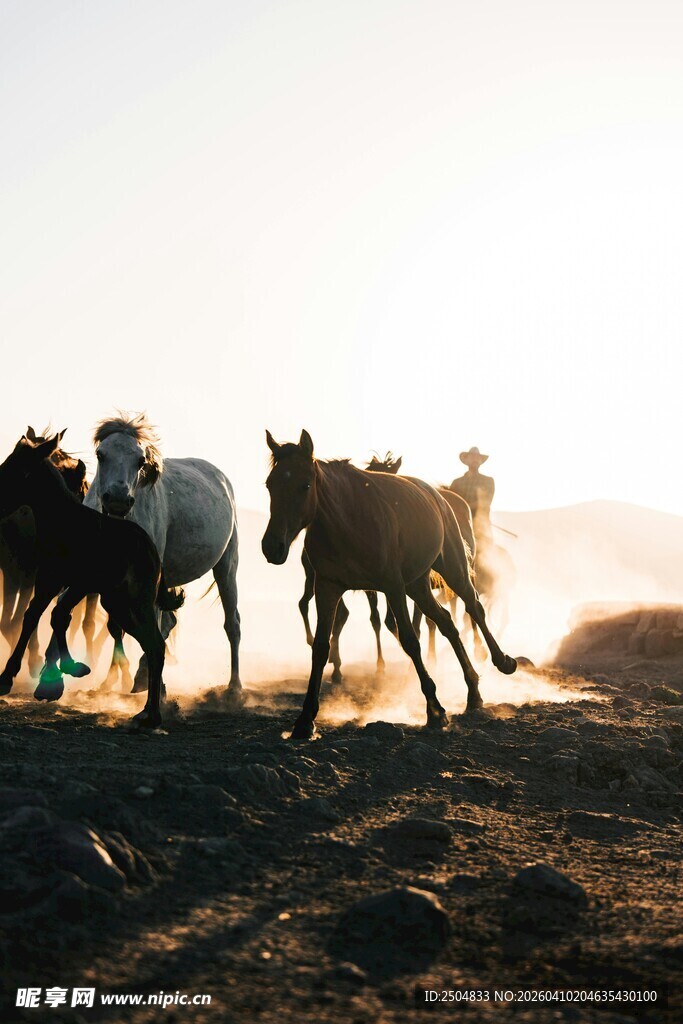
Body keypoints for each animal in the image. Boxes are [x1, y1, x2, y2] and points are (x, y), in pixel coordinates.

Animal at [0, 431, 184, 727]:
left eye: (18, 470)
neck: (65, 522)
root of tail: (153, 550)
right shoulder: (47, 581)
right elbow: (34, 617)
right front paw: (11, 678)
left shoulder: (79, 584)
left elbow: (59, 616)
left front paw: (72, 667)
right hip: (117, 603)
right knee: (149, 643)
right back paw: (145, 711)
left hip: (137, 601)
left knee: (155, 645)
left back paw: (152, 715)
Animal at [83, 414, 241, 698]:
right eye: (101, 454)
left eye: (140, 459)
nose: (118, 500)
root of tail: (221, 477)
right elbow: (116, 627)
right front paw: (110, 681)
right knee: (168, 622)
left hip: (227, 567)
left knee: (231, 624)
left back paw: (234, 687)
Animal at [262, 430, 516, 739]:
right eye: (270, 484)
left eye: (305, 484)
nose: (272, 547)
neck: (348, 520)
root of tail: (439, 496)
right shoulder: (328, 587)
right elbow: (322, 646)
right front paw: (305, 719)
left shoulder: (392, 586)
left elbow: (410, 639)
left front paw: (435, 710)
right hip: (417, 585)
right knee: (446, 622)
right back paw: (473, 692)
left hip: (451, 569)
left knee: (474, 608)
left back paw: (502, 661)